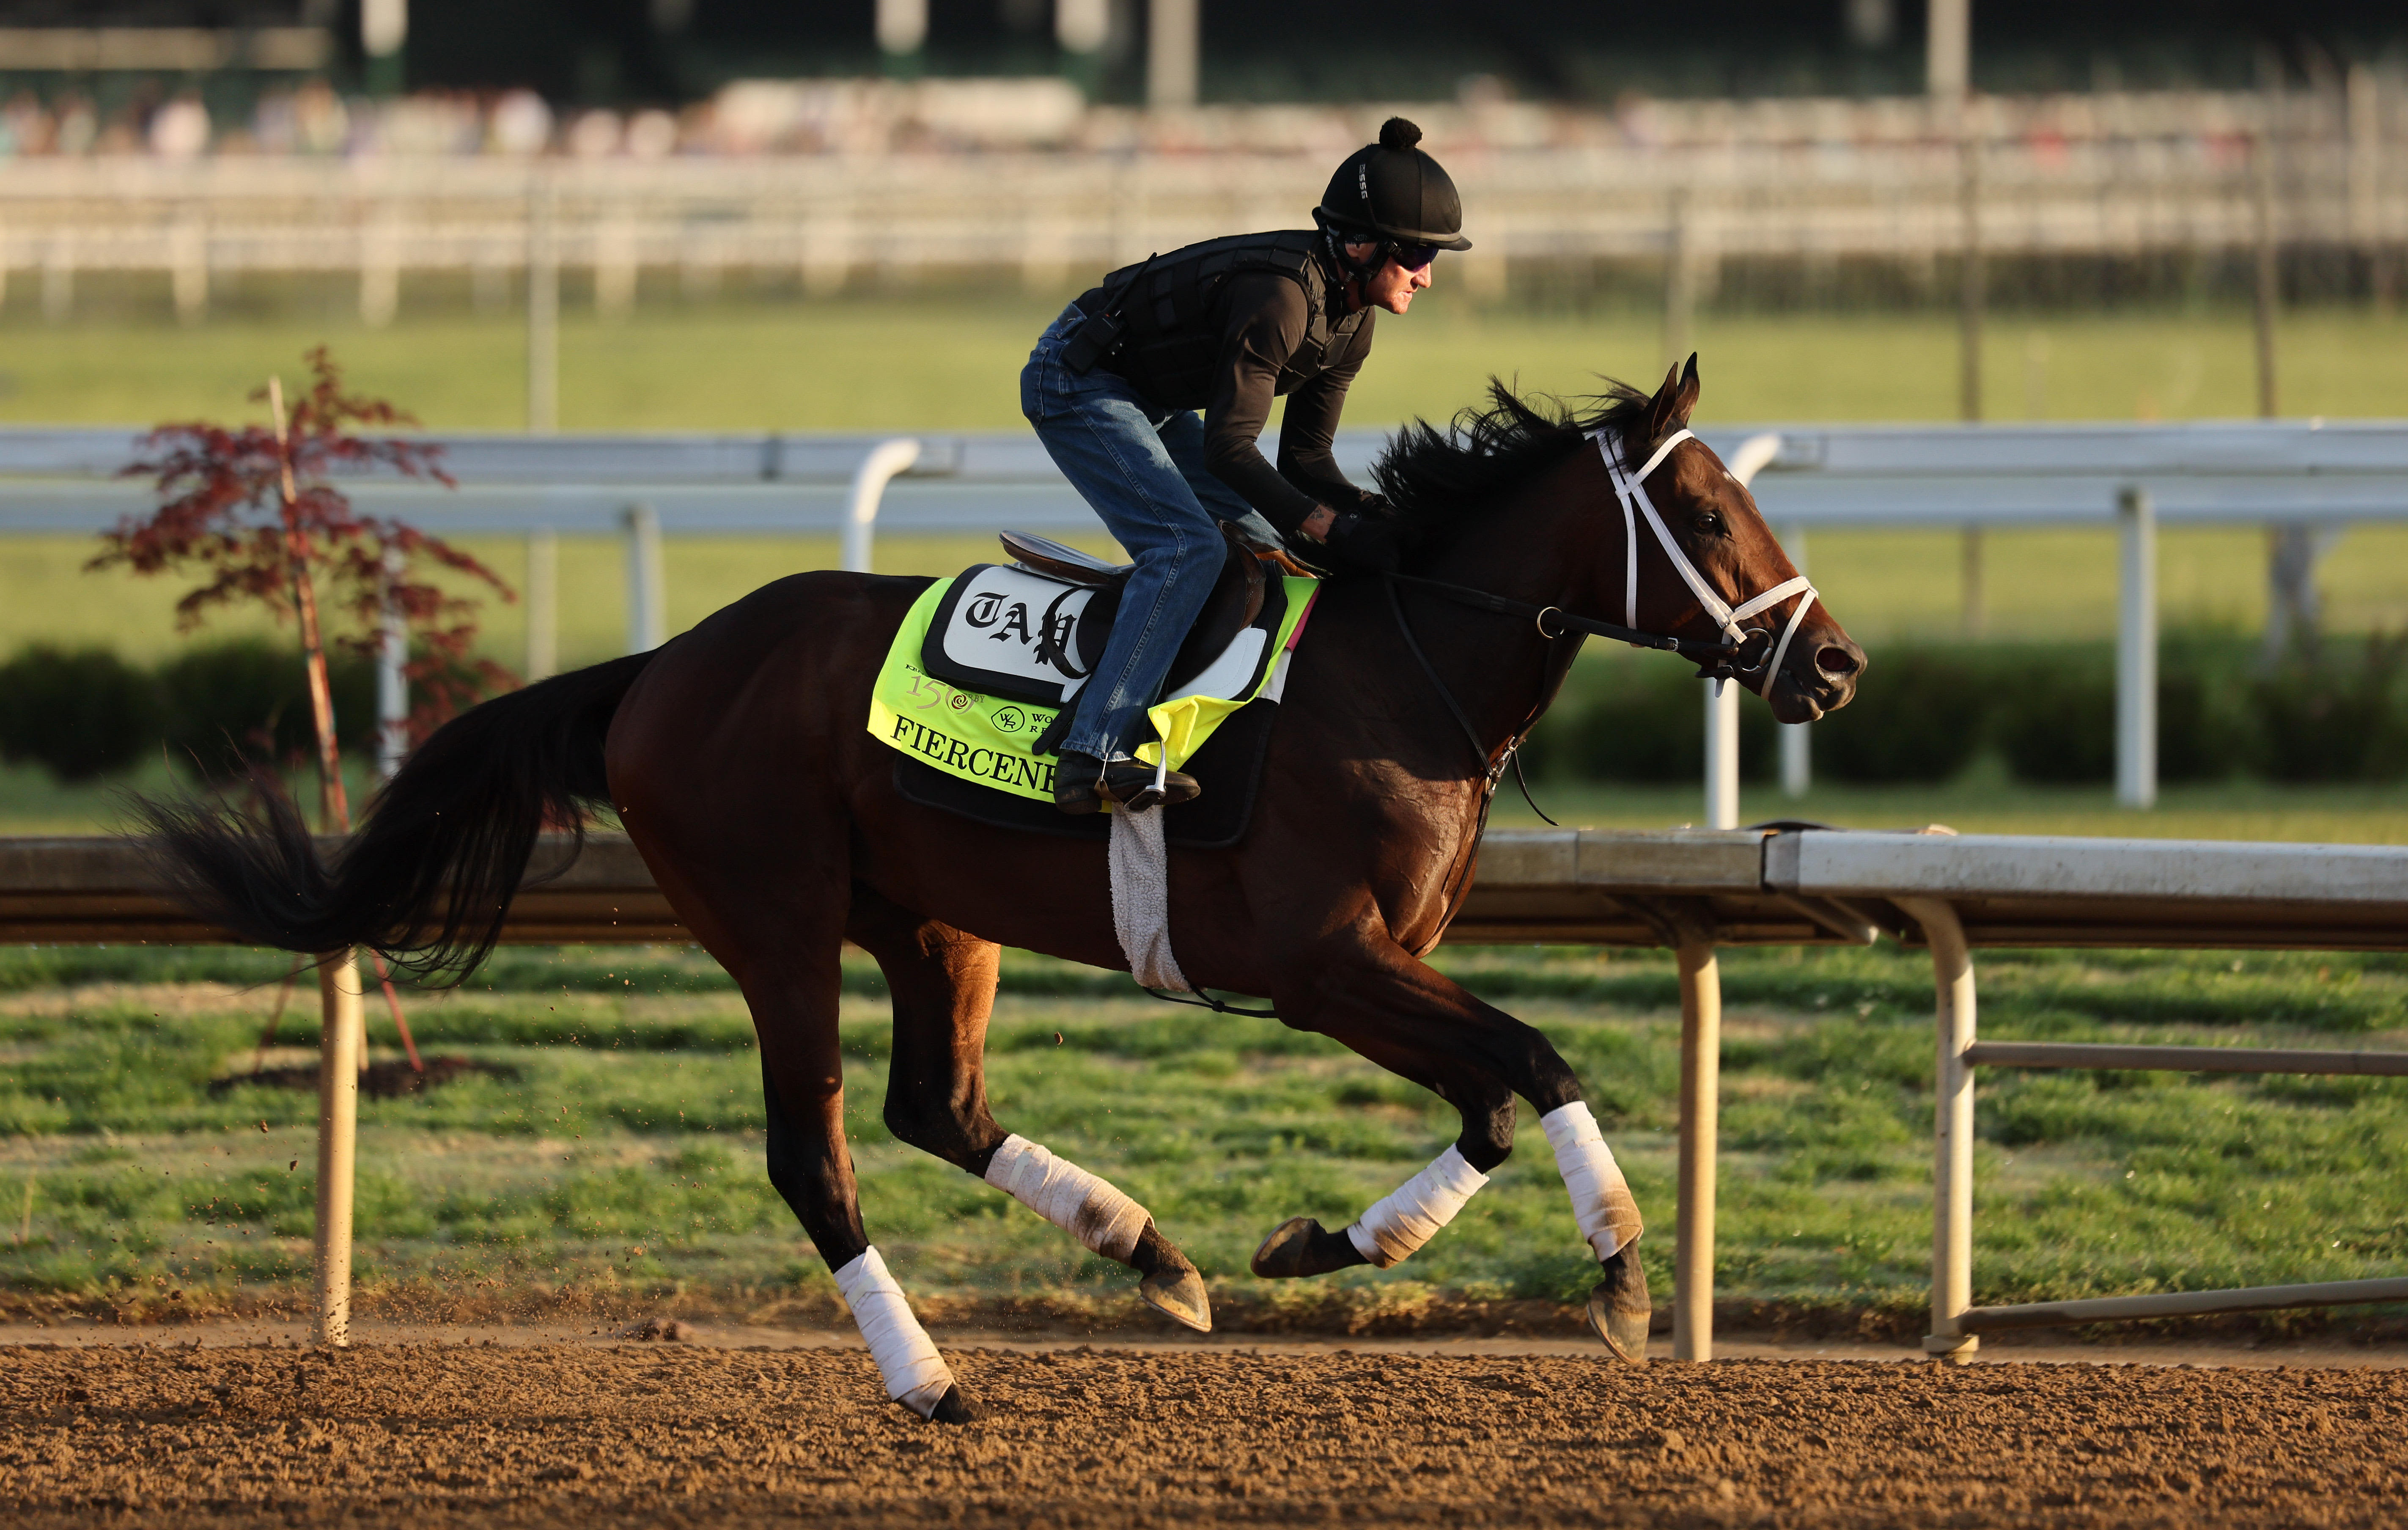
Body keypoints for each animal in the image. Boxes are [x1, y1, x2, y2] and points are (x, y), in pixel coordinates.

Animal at [141, 359, 1868, 1426]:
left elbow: (1492, 1097)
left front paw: (1319, 1242)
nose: (1834, 663)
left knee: (940, 1103)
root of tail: (663, 664)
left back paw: (1147, 1250)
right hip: (773, 917)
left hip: (930, 916)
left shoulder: (1375, 965)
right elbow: (1535, 1060)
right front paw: (1622, 1269)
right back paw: (927, 1376)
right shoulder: (1321, 961)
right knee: (818, 1149)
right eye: (1703, 512)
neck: (1398, 672)